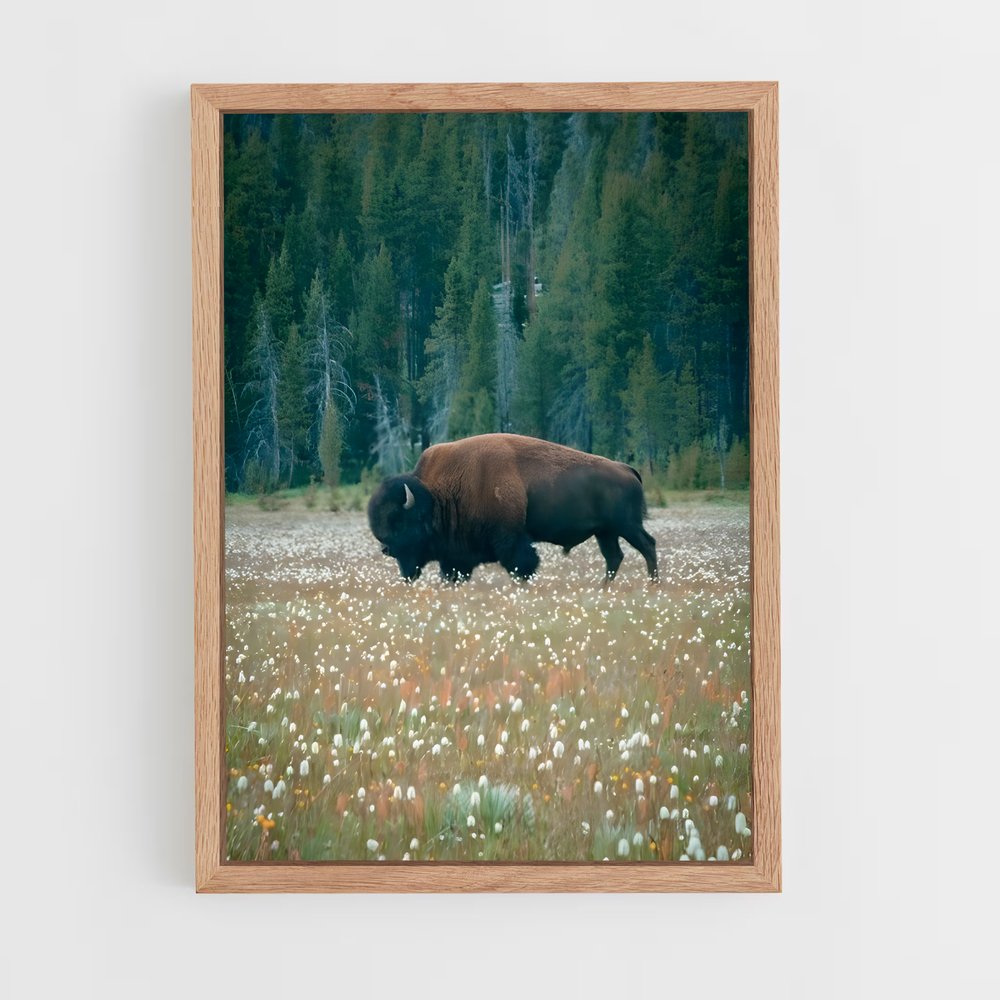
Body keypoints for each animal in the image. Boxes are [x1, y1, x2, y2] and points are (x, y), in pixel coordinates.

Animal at [367, 433, 658, 585]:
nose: (386, 549)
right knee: (614, 557)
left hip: (626, 526)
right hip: (605, 532)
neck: (437, 496)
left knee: (647, 545)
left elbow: (522, 565)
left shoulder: (510, 539)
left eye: (402, 522)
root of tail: (626, 469)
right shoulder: (455, 556)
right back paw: (603, 588)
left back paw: (652, 584)